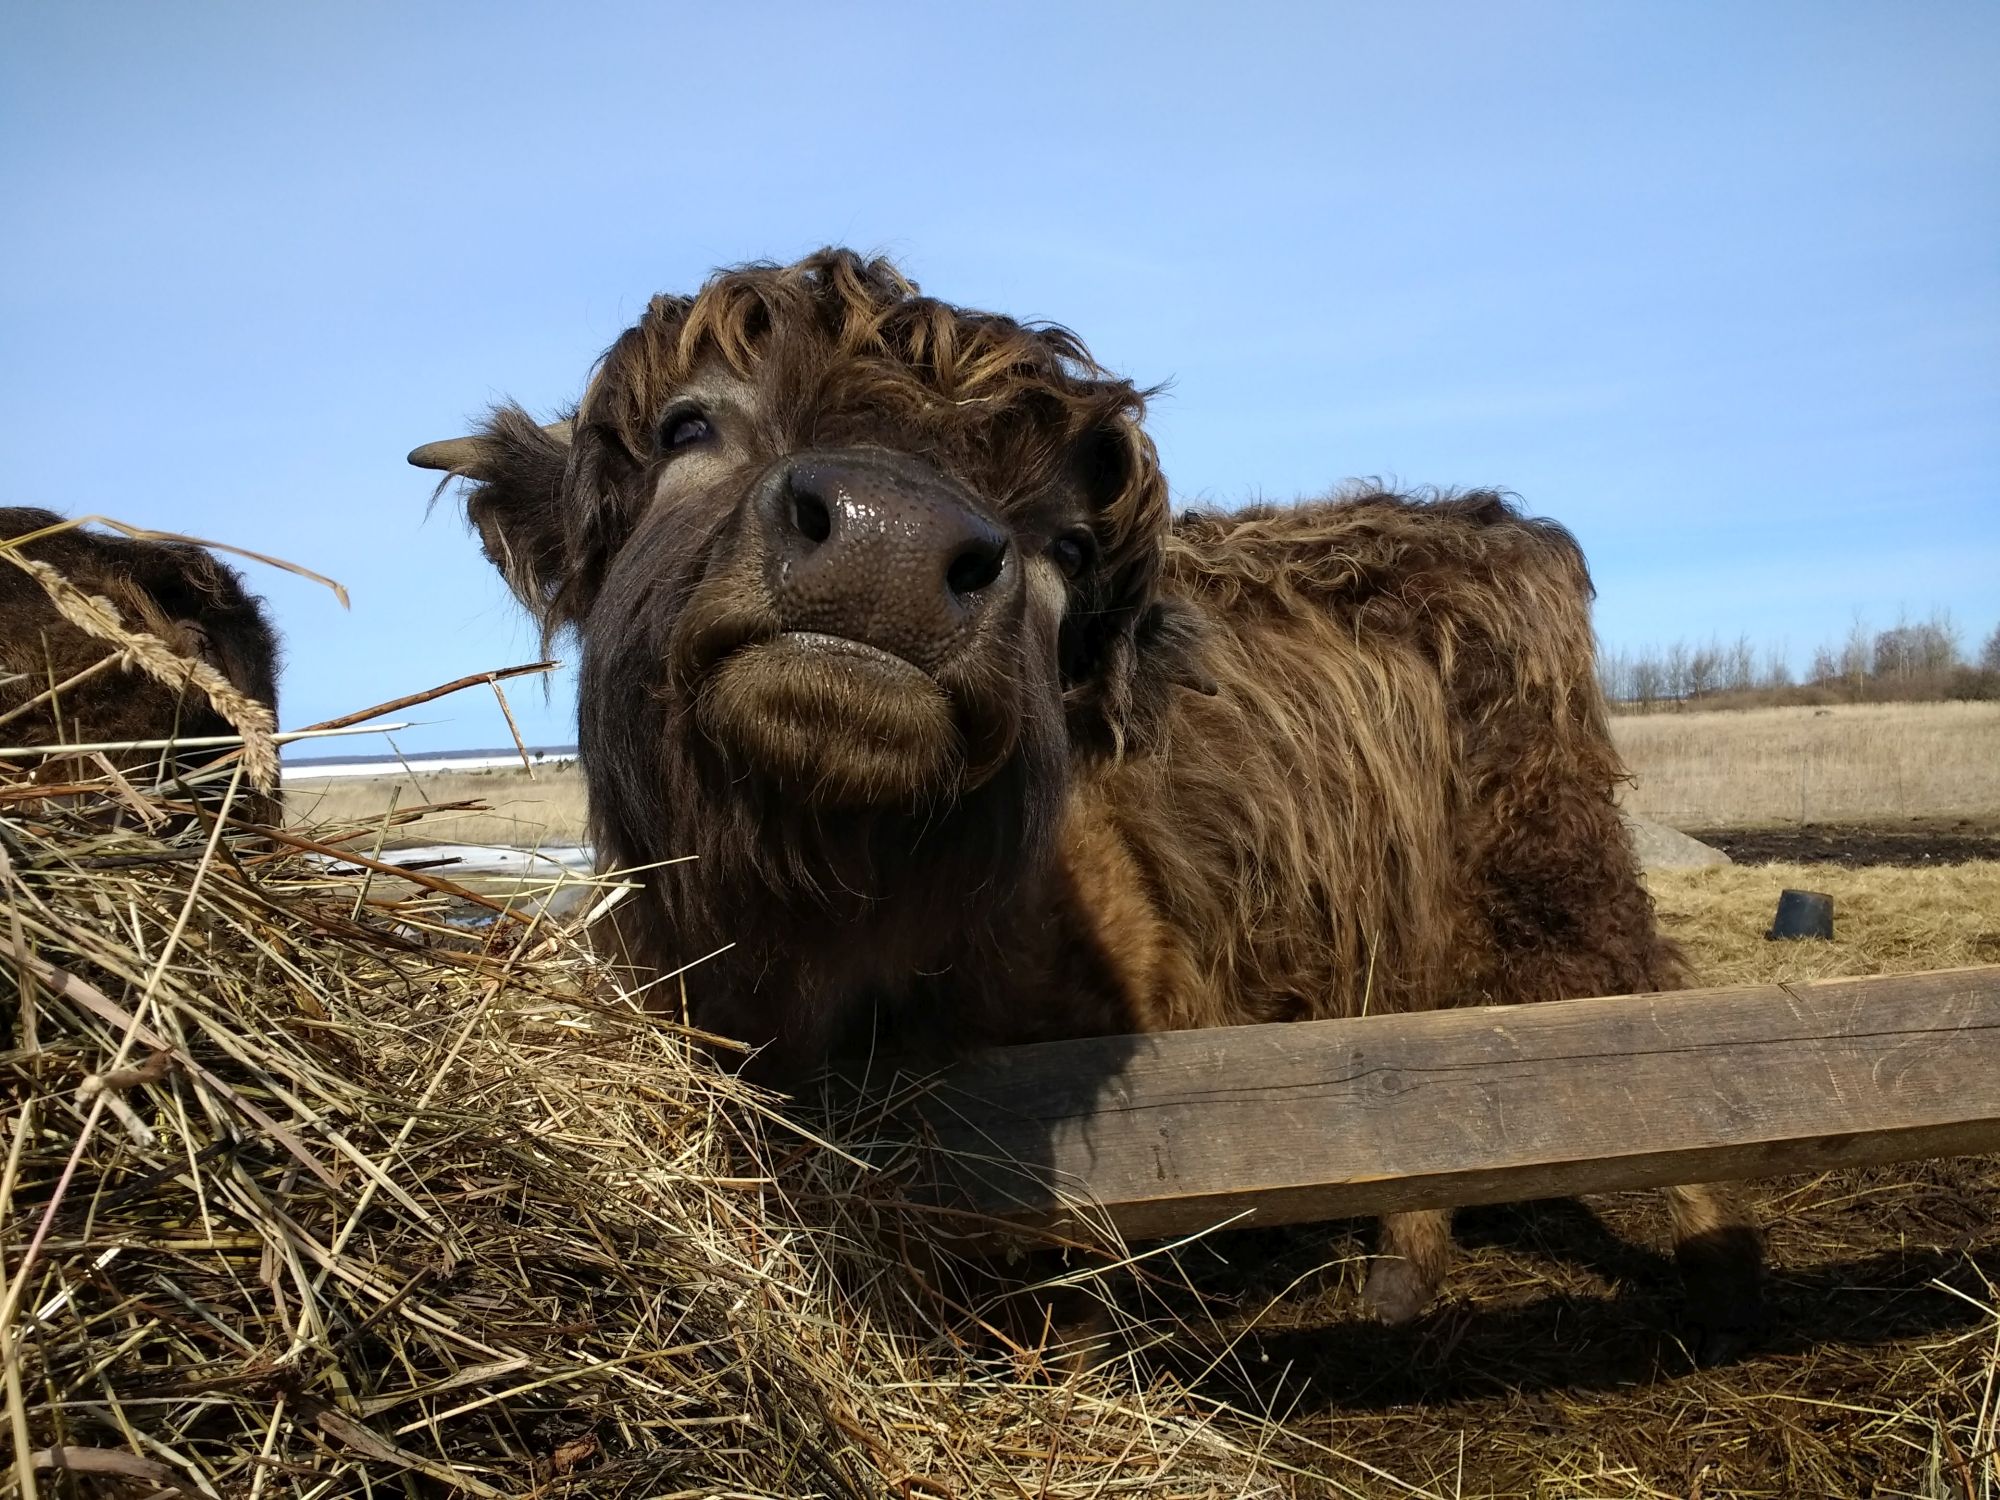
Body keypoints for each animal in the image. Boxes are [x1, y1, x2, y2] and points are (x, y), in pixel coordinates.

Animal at [414, 247, 1760, 1352]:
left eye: (1065, 542)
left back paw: (1719, 1263)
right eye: (688, 422)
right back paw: (1402, 1277)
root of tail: (1489, 524)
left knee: (1651, 1017)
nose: (889, 540)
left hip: (1550, 877)